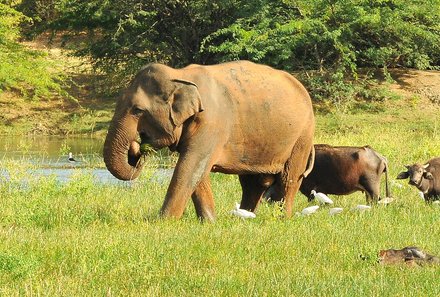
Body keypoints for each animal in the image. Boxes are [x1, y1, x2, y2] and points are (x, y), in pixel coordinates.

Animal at [103, 60, 314, 220]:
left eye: (138, 110)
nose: (137, 147)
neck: (179, 75)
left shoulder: (211, 123)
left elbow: (190, 166)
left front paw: (163, 222)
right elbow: (197, 170)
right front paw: (209, 222)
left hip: (302, 136)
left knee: (289, 178)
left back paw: (282, 219)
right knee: (252, 183)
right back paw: (245, 217)